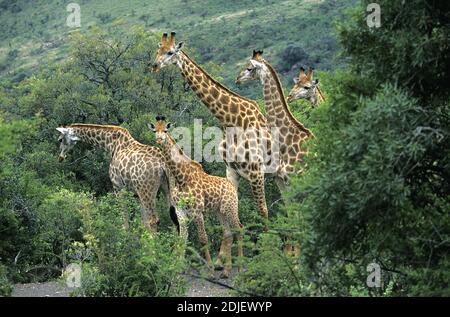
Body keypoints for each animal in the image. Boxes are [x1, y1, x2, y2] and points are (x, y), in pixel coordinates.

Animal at [149, 115, 243, 276]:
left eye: (166, 130)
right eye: (154, 130)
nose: (159, 140)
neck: (181, 179)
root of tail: (231, 185)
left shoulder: (197, 210)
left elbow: (203, 238)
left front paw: (210, 270)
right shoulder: (180, 211)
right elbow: (183, 237)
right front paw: (178, 266)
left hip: (230, 208)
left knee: (239, 229)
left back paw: (240, 269)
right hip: (220, 211)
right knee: (228, 233)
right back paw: (226, 271)